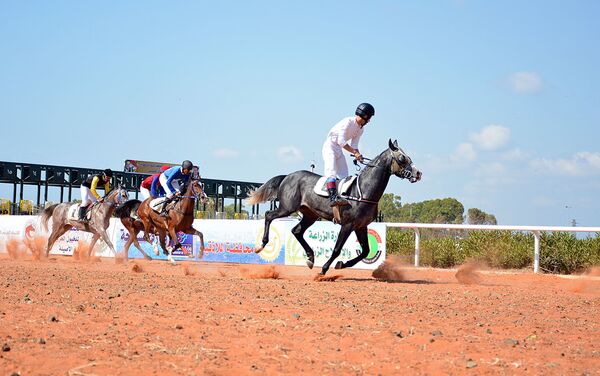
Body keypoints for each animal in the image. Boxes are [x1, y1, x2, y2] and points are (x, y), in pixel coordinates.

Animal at [248, 140, 422, 274]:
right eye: (402, 158)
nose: (418, 173)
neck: (363, 192)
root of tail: (288, 176)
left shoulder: (361, 226)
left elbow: (365, 251)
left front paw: (342, 264)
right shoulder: (348, 225)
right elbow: (337, 249)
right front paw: (324, 269)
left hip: (310, 215)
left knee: (296, 231)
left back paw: (311, 258)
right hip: (287, 207)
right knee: (269, 215)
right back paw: (261, 245)